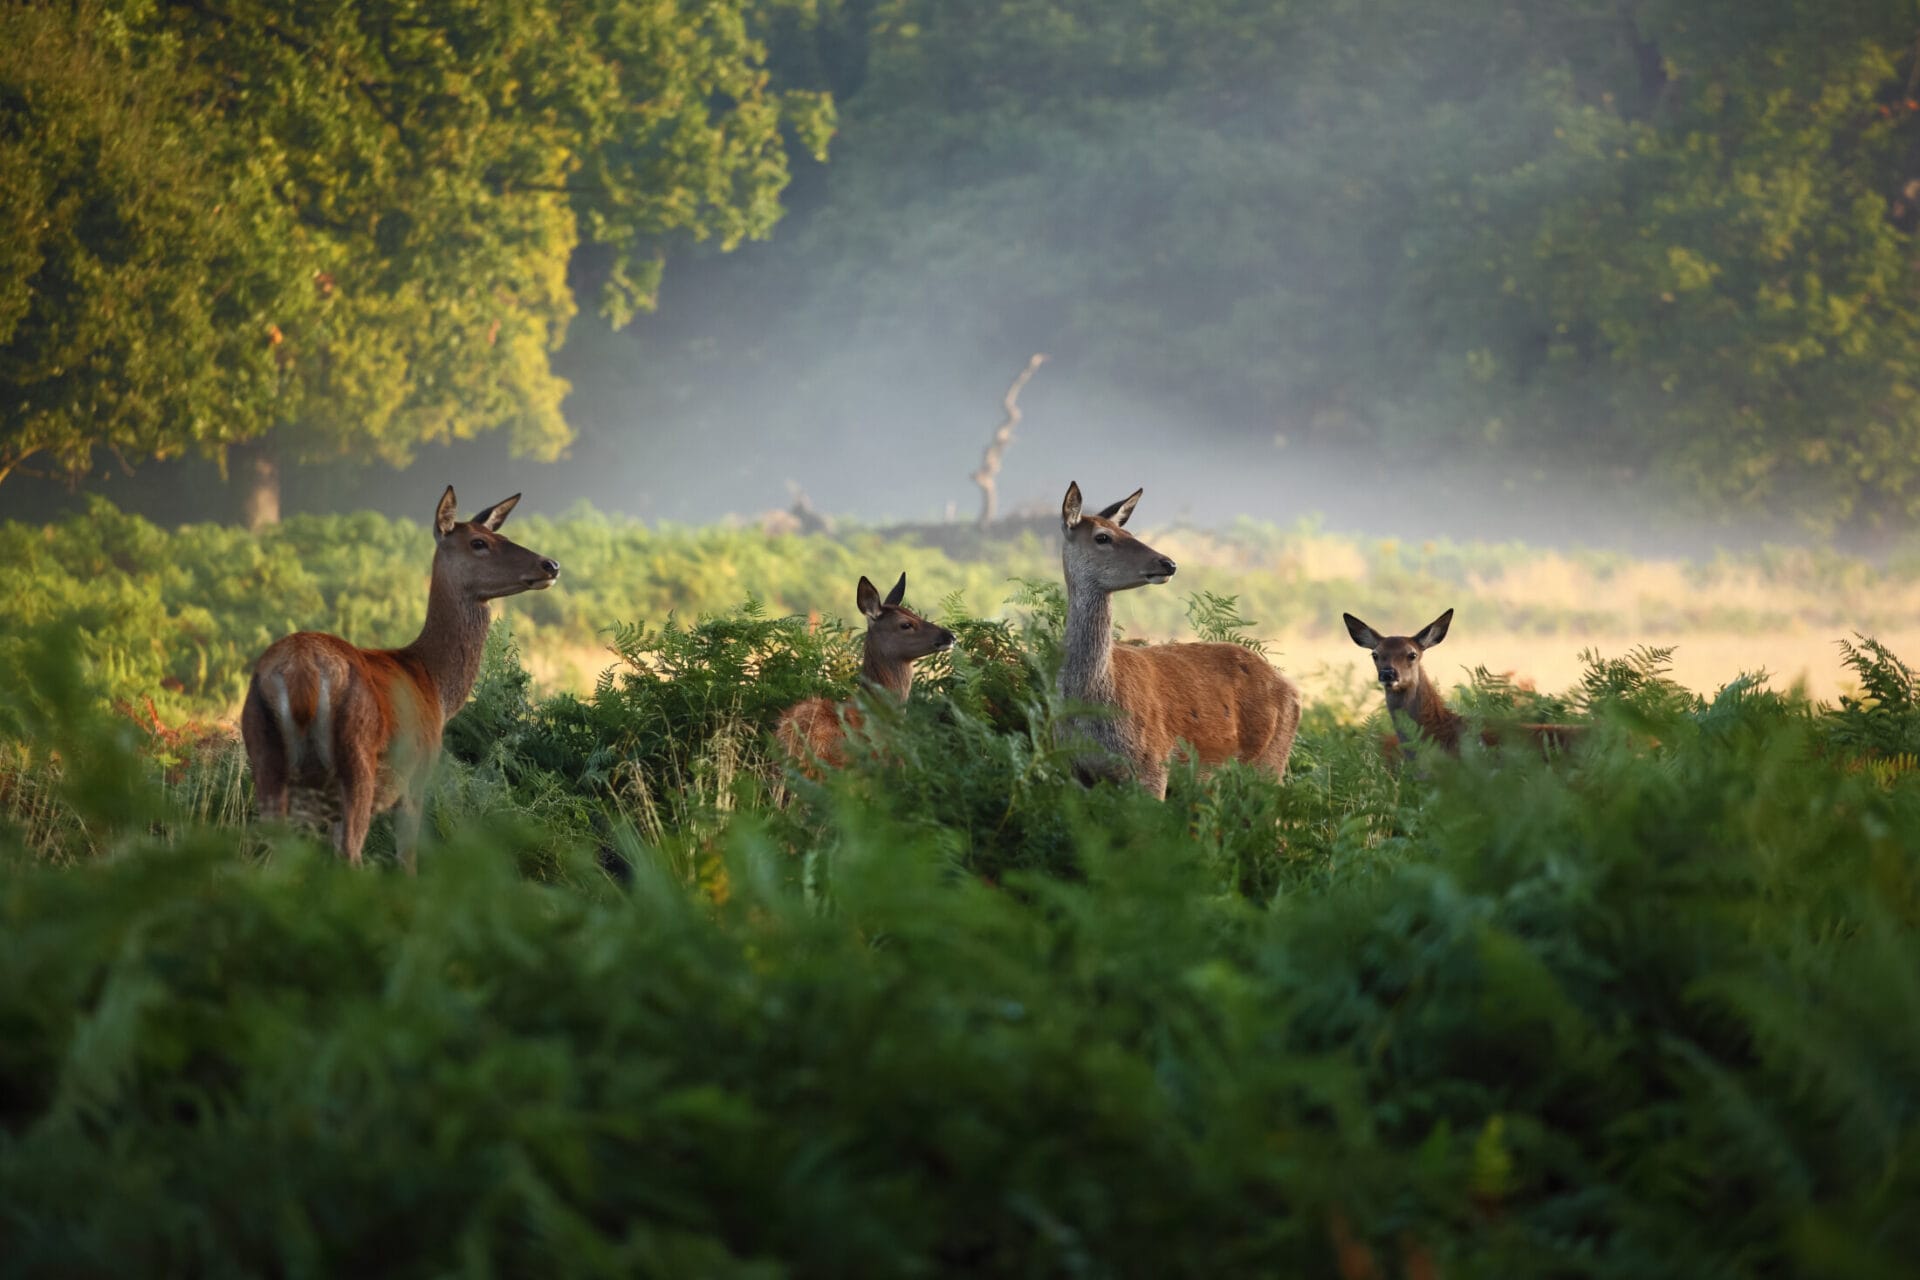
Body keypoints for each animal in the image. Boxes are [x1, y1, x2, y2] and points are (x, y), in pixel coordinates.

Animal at [240, 486, 560, 869]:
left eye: (505, 537)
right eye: (479, 542)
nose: (550, 564)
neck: (434, 683)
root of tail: (300, 672)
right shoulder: (417, 775)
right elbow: (407, 857)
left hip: (263, 751)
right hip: (357, 759)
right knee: (349, 851)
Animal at [1056, 482, 1302, 798]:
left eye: (1130, 533)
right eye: (1102, 537)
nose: (1168, 563)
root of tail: (1294, 692)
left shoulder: (1152, 762)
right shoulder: (1075, 770)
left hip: (1271, 762)